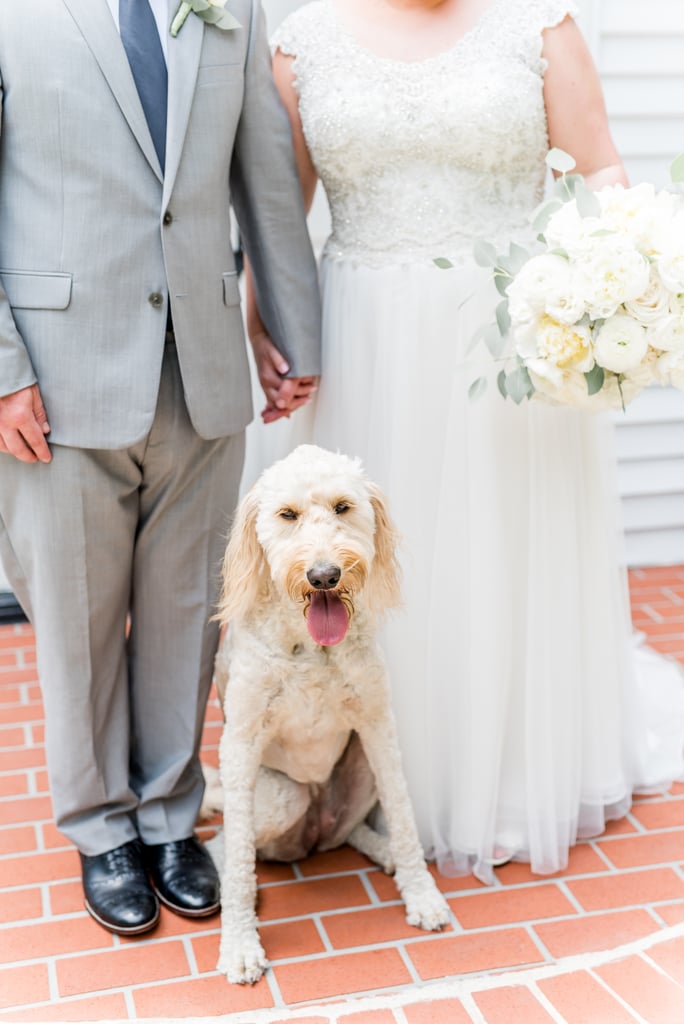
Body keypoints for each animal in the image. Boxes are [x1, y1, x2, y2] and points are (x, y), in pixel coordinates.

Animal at [210, 446, 450, 983]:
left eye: (343, 507)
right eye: (288, 515)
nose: (324, 575)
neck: (311, 648)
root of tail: (311, 838)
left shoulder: (379, 725)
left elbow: (403, 814)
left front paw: (420, 891)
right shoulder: (240, 742)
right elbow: (237, 856)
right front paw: (239, 943)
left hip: (359, 772)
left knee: (351, 831)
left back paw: (386, 856)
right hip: (282, 797)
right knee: (224, 844)